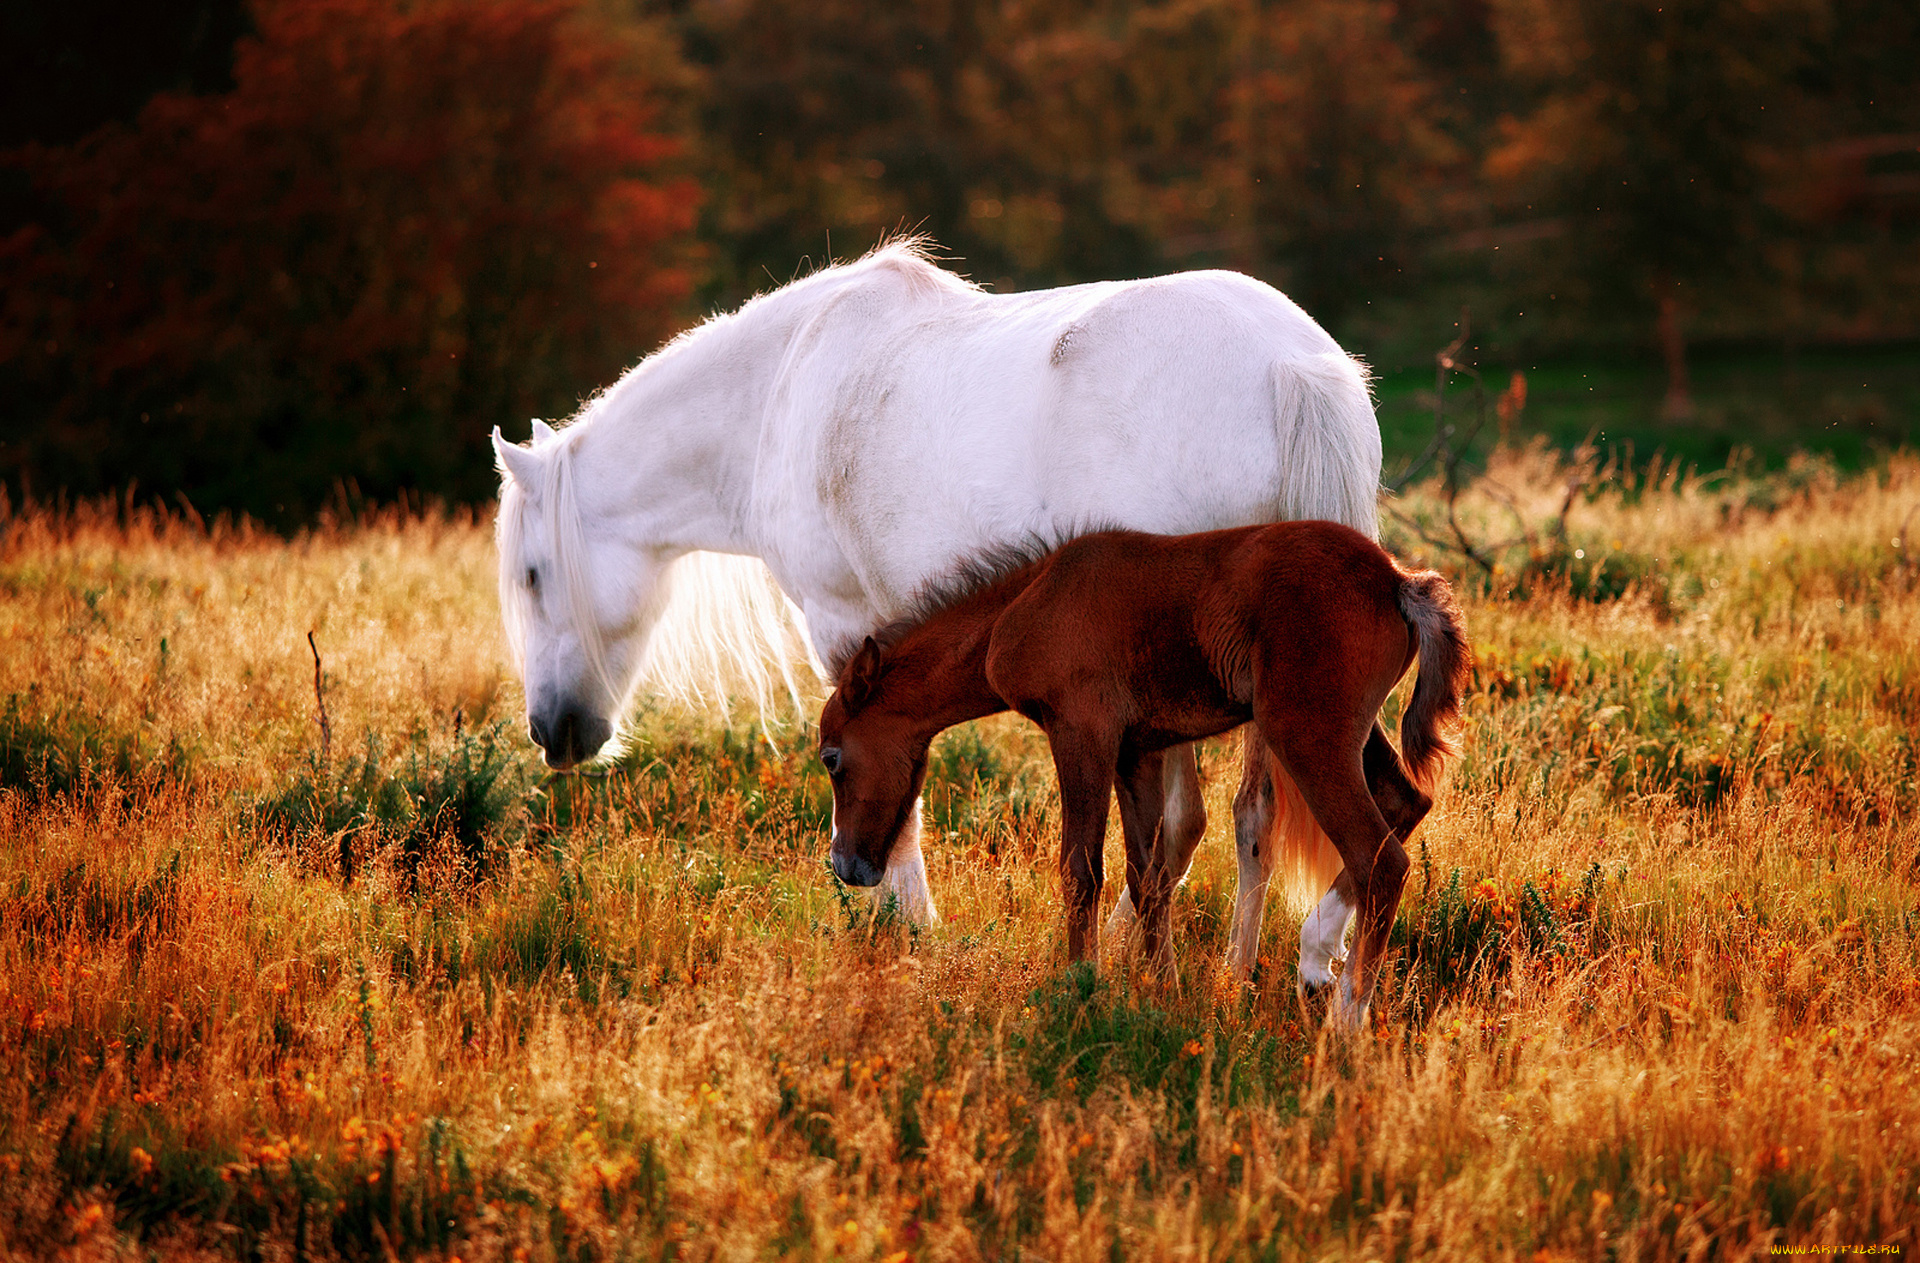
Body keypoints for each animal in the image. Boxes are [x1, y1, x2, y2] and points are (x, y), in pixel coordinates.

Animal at [487, 236, 1374, 982]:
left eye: (531, 574)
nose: (551, 732)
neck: (780, 391)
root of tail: (1288, 366)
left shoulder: (845, 628)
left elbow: (887, 777)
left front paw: (903, 921)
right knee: (1246, 818)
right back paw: (1247, 964)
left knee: (1197, 823)